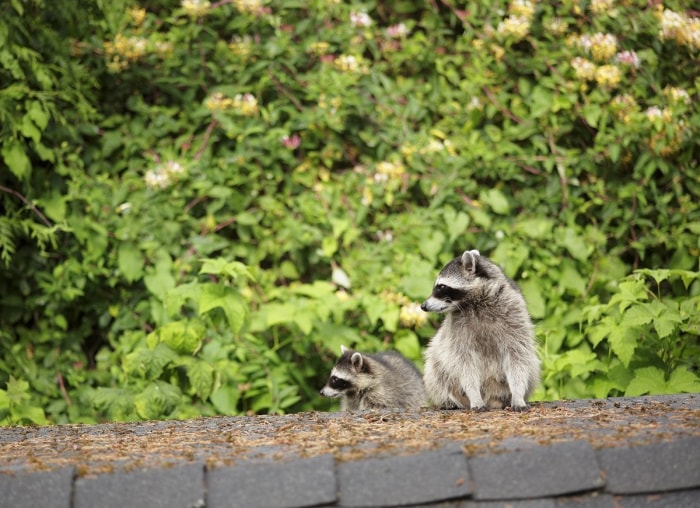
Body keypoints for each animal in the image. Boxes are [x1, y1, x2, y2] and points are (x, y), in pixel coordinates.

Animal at [422, 248, 540, 410]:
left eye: (441, 286)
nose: (423, 306)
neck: (476, 301)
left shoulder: (514, 314)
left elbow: (518, 355)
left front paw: (518, 393)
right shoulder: (457, 327)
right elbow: (463, 360)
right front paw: (474, 394)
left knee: (531, 365)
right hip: (439, 364)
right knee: (435, 369)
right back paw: (448, 400)